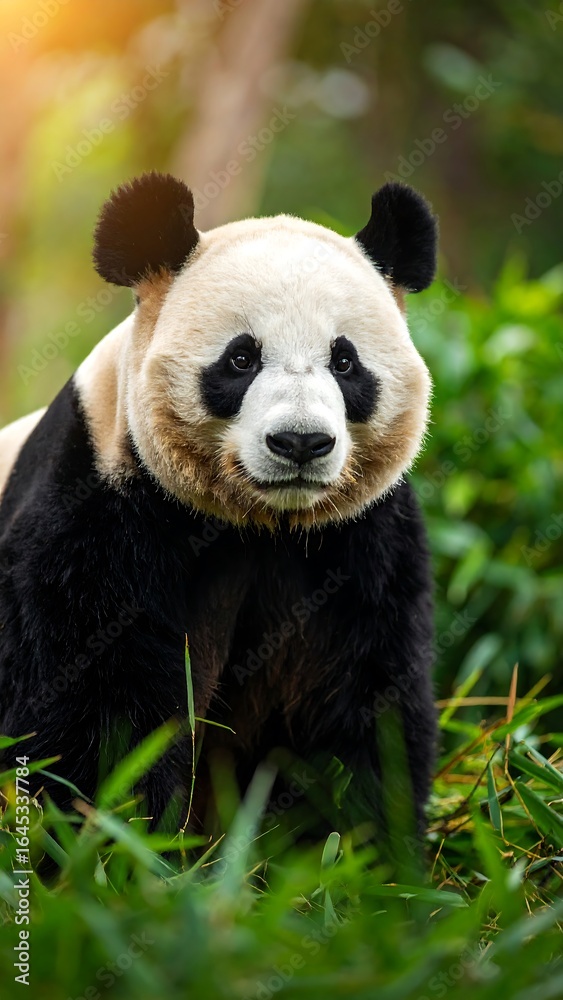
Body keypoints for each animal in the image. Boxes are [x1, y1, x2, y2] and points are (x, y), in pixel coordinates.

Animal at [0, 172, 438, 837]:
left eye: (345, 361)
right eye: (241, 358)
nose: (301, 442)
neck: (259, 523)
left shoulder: (361, 538)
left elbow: (365, 691)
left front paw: (359, 843)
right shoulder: (100, 498)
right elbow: (92, 695)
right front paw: (121, 837)